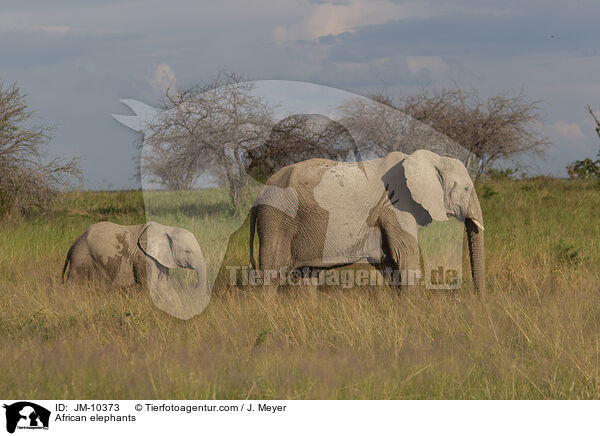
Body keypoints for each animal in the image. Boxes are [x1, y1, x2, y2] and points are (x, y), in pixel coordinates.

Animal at [61, 221, 206, 290]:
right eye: (188, 251)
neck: (166, 228)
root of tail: (73, 243)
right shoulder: (143, 257)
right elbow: (149, 285)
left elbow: (164, 285)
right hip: (81, 256)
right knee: (74, 284)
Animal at [248, 148, 488, 294]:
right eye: (466, 188)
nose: (479, 301)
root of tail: (259, 194)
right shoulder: (396, 205)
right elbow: (405, 255)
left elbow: (389, 260)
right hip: (277, 218)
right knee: (272, 271)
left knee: (309, 273)